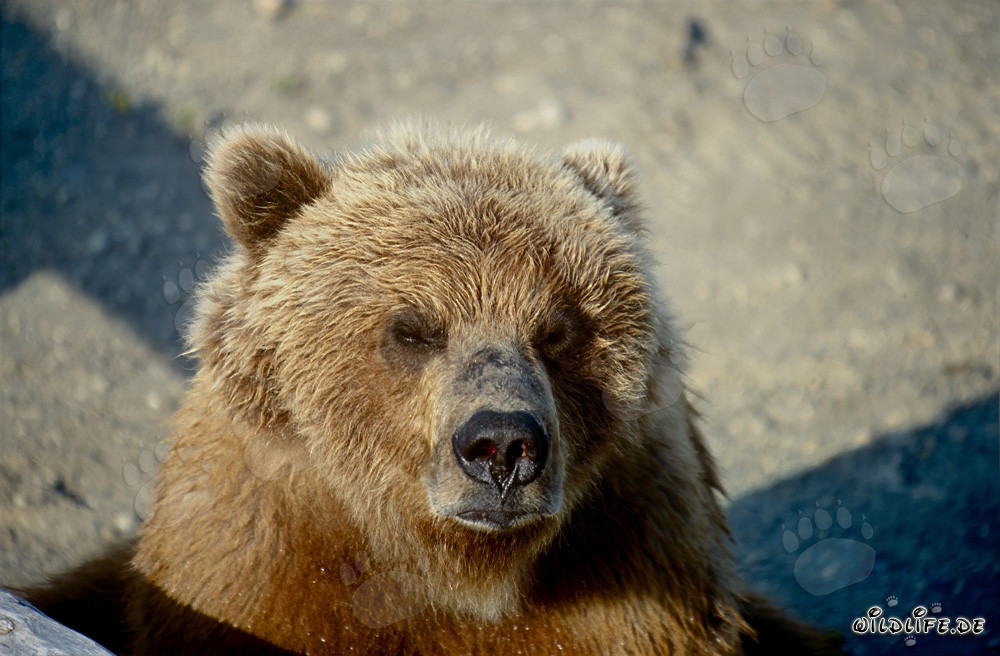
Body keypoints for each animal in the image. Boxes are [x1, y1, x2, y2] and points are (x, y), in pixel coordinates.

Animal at [22, 122, 840, 655]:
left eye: (560, 327)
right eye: (413, 328)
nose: (503, 445)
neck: (450, 574)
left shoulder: (629, 578)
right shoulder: (256, 569)